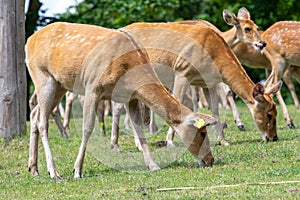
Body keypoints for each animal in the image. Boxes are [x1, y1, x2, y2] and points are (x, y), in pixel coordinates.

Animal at [25, 21, 218, 178]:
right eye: (202, 132)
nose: (210, 160)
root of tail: (28, 41)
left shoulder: (131, 97)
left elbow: (139, 128)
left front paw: (153, 165)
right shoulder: (91, 87)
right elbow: (87, 128)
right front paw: (77, 170)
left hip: (60, 85)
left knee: (35, 114)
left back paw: (33, 168)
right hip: (43, 77)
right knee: (42, 121)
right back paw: (53, 171)